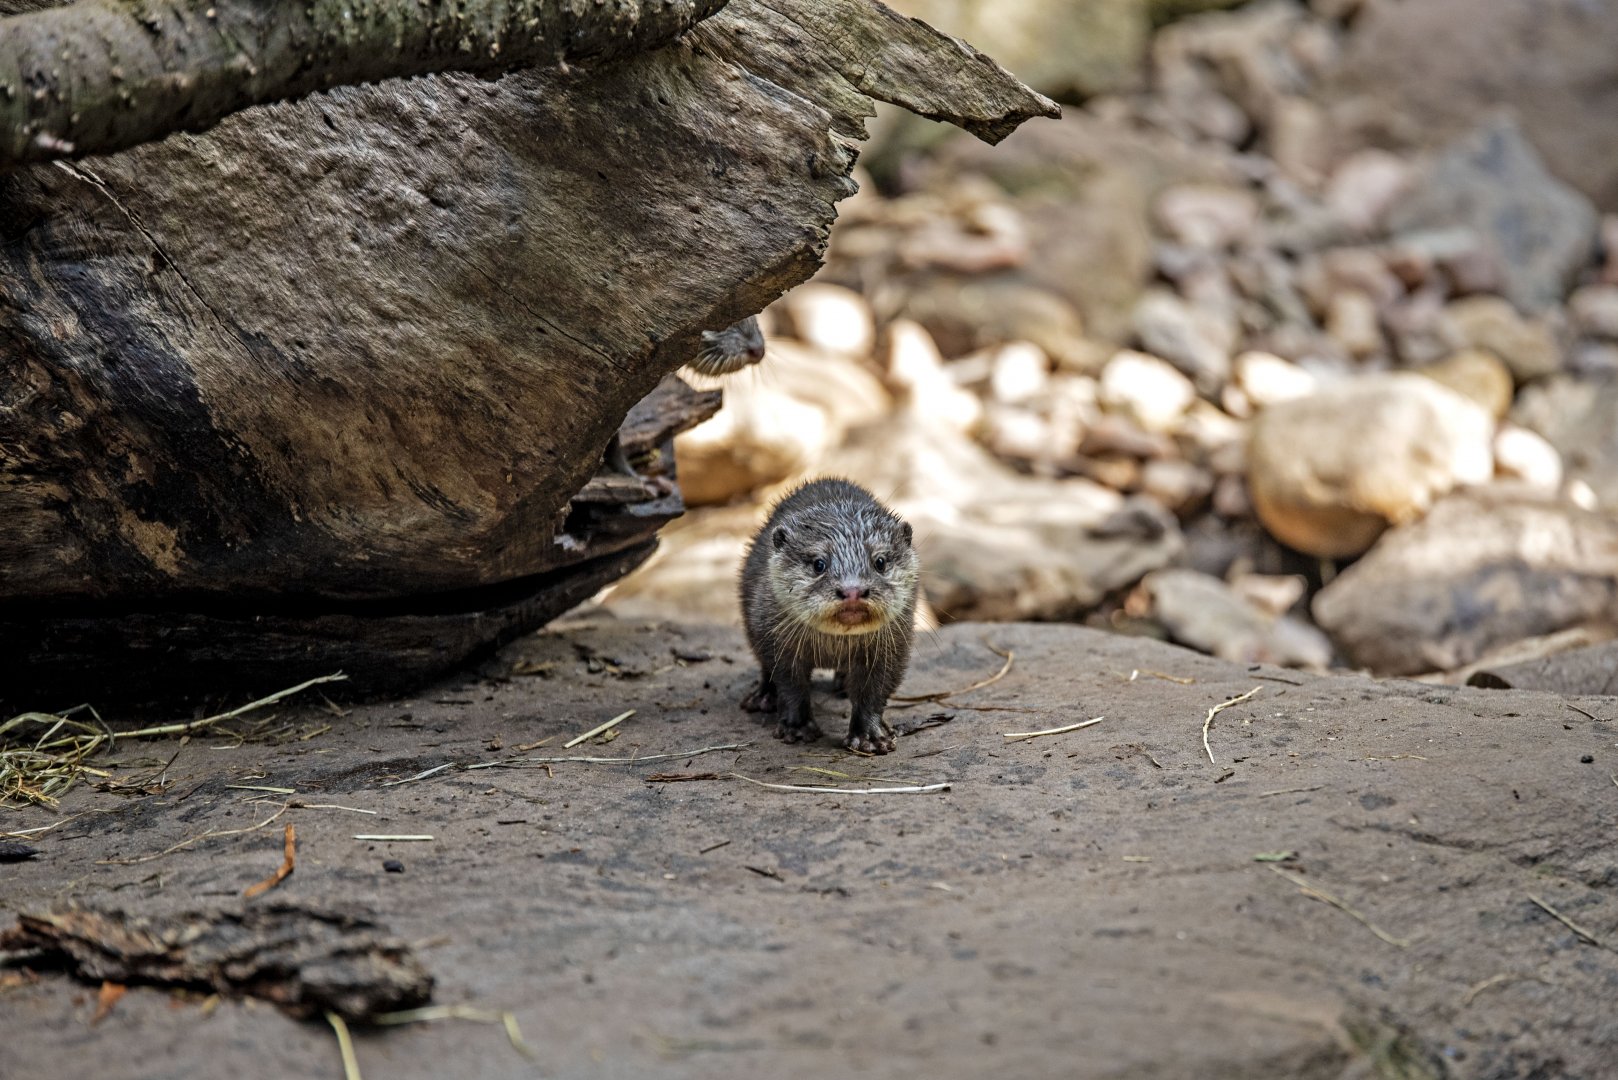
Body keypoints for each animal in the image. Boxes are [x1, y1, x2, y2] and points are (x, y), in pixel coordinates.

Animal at [739, 478, 920, 754]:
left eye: (879, 561)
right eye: (818, 564)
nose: (853, 591)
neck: (832, 647)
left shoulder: (893, 646)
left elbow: (875, 691)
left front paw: (869, 736)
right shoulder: (775, 637)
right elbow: (789, 683)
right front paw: (797, 727)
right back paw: (762, 697)